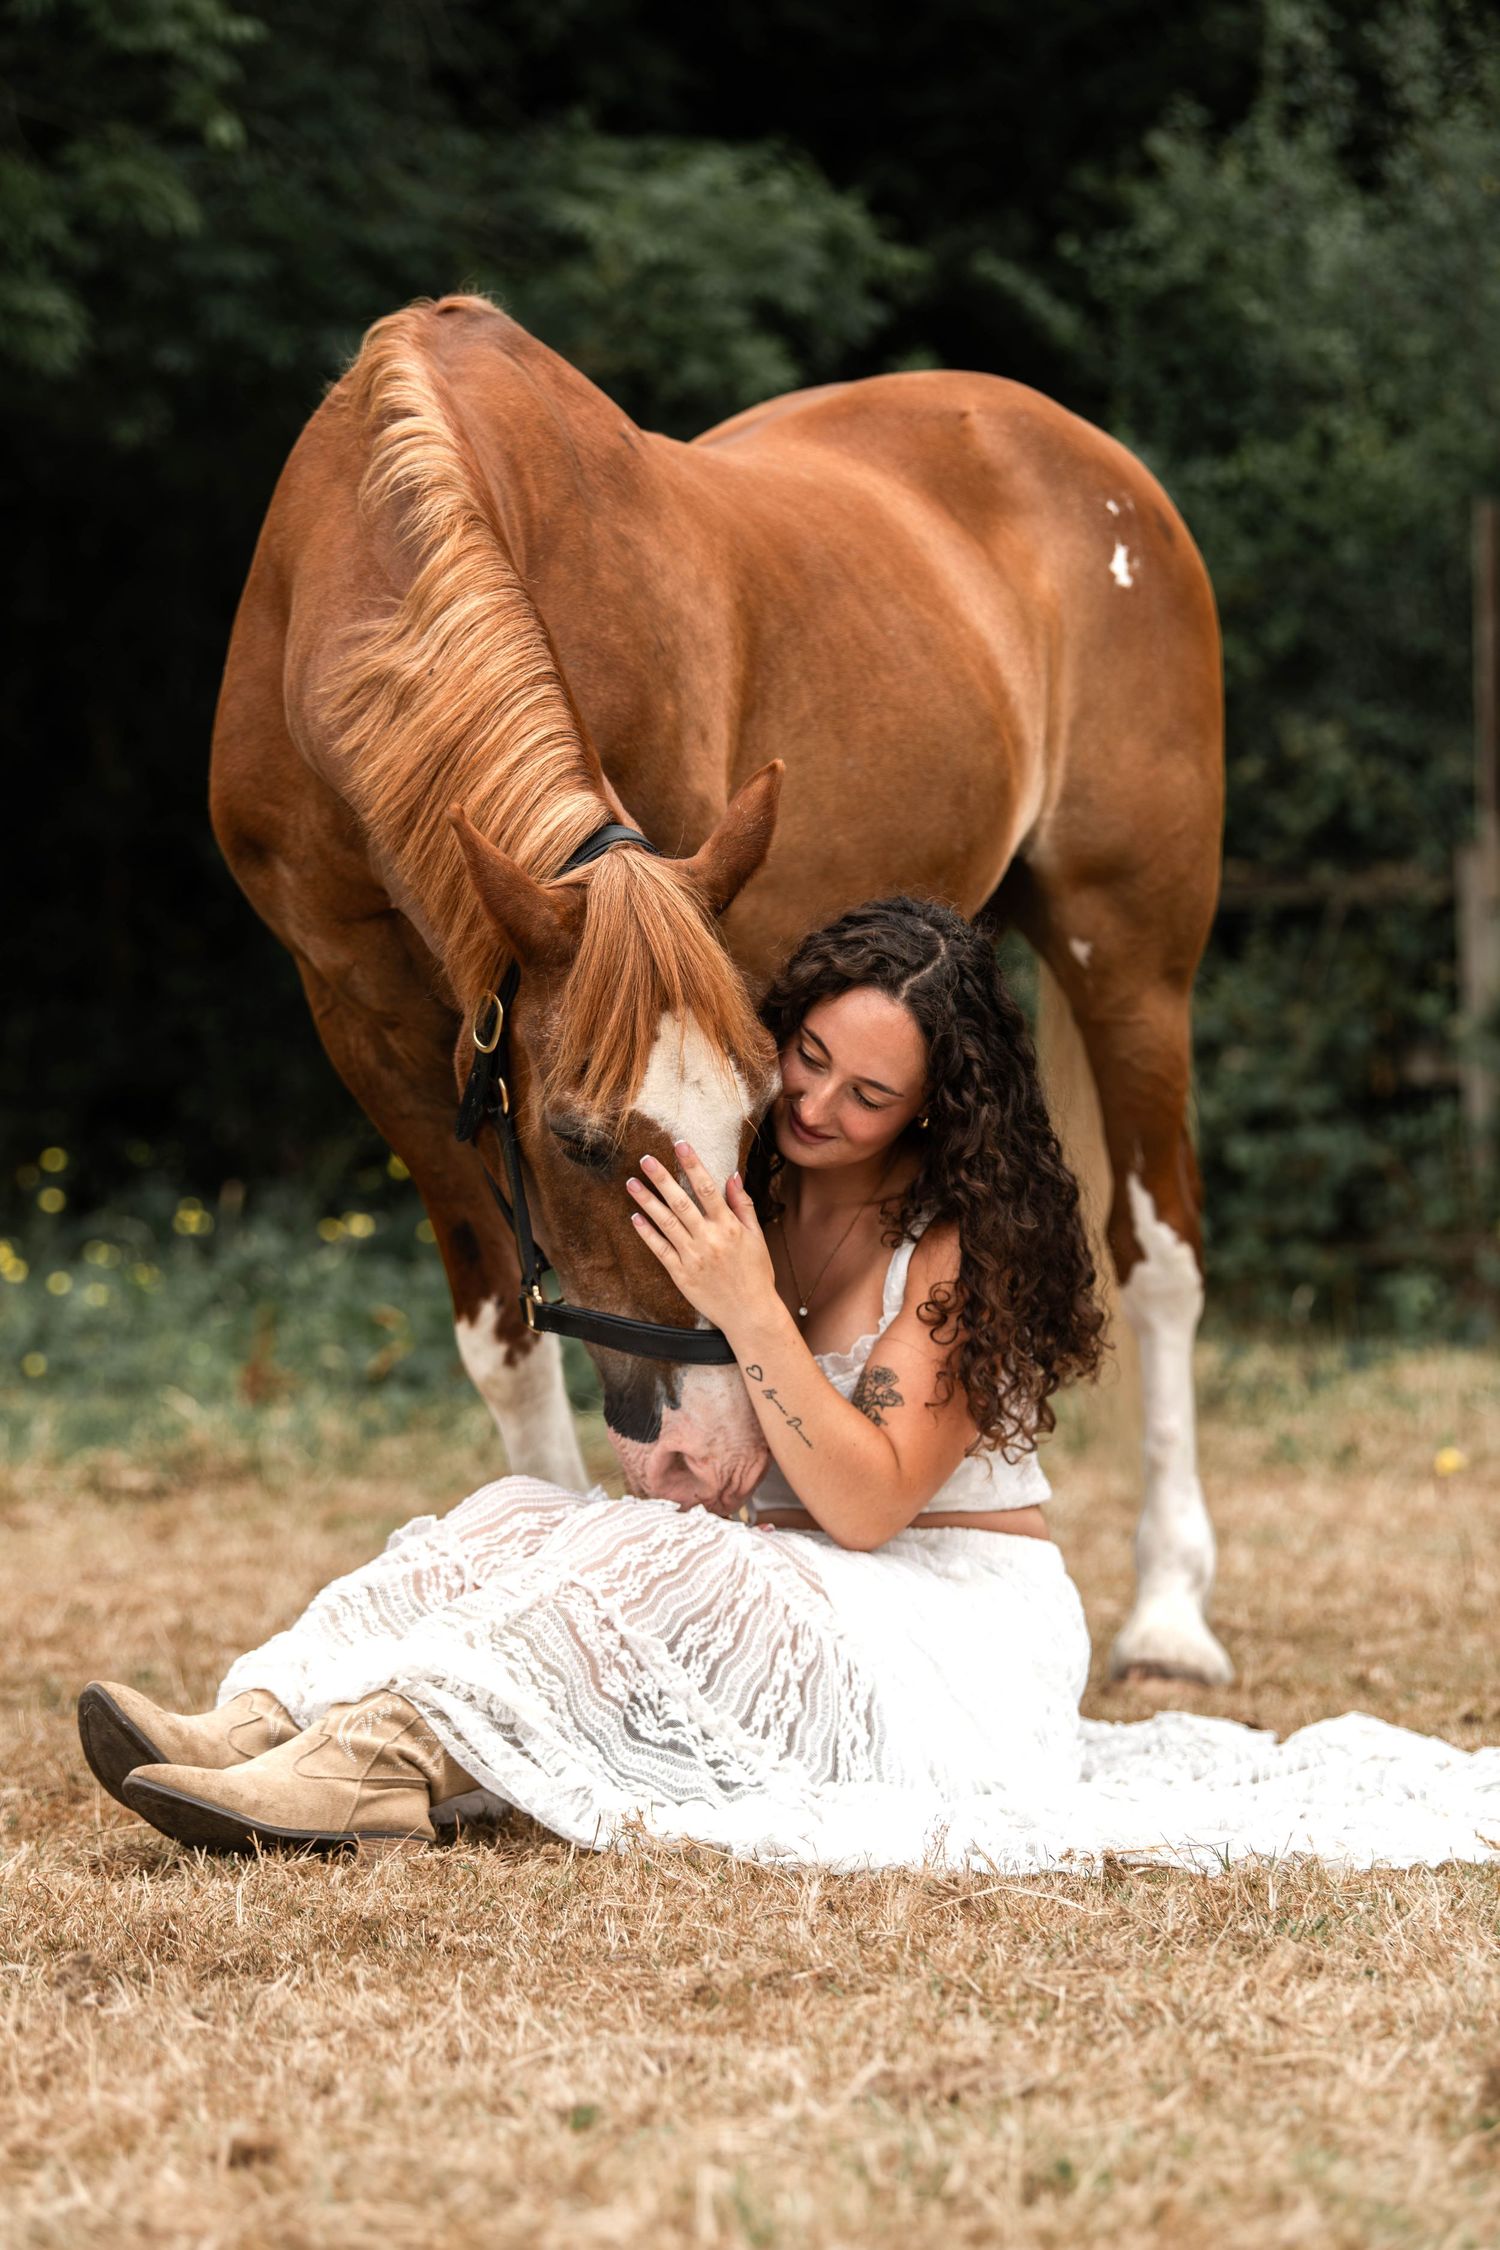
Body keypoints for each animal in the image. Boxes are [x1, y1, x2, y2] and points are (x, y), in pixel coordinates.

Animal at [209, 290, 1228, 1684]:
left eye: (755, 1124)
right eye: (575, 1142)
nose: (706, 1446)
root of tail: (1097, 464)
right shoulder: (372, 1029)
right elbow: (508, 1336)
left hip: (1129, 960)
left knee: (1156, 1260)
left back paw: (1171, 1610)